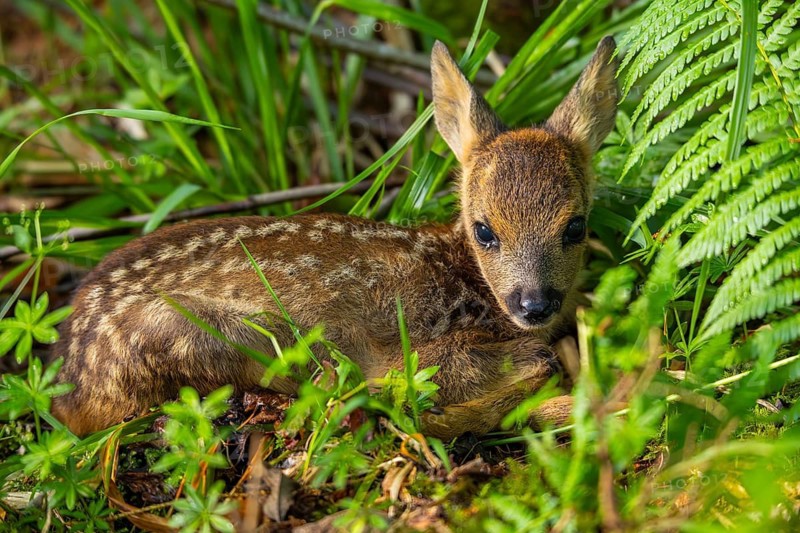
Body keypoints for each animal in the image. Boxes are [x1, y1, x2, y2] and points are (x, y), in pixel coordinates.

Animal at [51, 37, 619, 439]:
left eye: (575, 226)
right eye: (484, 230)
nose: (535, 303)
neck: (464, 278)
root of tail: (70, 385)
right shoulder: (420, 350)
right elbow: (514, 363)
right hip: (220, 336)